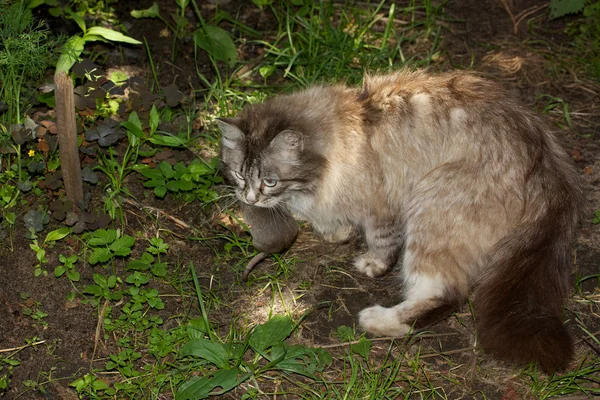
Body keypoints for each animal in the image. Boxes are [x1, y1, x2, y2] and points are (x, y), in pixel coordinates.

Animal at [218, 69, 584, 372]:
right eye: (240, 174)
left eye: (270, 181)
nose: (249, 199)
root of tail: (547, 163)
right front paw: (335, 230)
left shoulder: (384, 204)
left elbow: (381, 242)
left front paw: (371, 263)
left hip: (433, 205)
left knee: (446, 294)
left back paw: (379, 319)